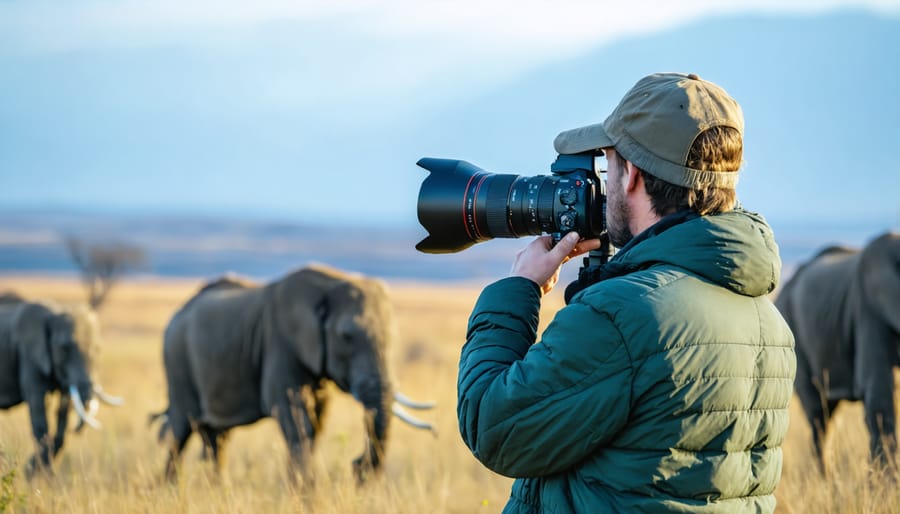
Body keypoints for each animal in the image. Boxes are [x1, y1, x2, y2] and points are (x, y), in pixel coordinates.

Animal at [0, 296, 121, 476]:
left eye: (97, 349)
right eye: (64, 349)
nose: (76, 429)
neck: (55, 311)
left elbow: (63, 414)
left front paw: (36, 472)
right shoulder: (29, 356)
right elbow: (39, 411)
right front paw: (37, 475)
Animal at [159, 266, 436, 482]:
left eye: (393, 337)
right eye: (346, 337)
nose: (356, 465)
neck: (330, 284)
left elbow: (316, 421)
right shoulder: (280, 342)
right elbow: (295, 419)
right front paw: (305, 495)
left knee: (216, 438)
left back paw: (217, 488)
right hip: (176, 359)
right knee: (180, 429)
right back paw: (172, 488)